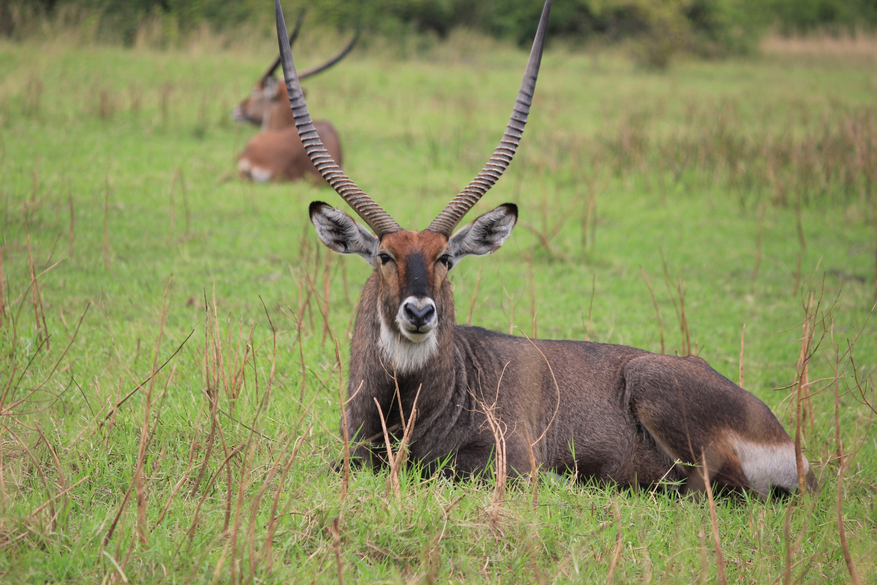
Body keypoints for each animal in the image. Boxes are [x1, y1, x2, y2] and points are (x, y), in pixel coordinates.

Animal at [274, 0, 816, 498]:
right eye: (385, 257)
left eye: (445, 258)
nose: (420, 312)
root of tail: (790, 447)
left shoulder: (508, 463)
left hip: (658, 394)